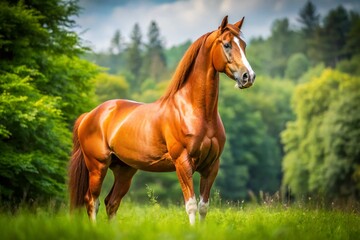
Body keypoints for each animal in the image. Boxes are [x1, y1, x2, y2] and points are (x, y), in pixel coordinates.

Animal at [68, 15, 256, 225]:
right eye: (226, 44)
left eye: (244, 44)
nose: (248, 76)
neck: (196, 111)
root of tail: (90, 115)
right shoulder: (183, 162)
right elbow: (191, 205)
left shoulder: (211, 166)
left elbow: (203, 207)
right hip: (97, 166)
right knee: (92, 201)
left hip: (124, 170)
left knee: (112, 202)